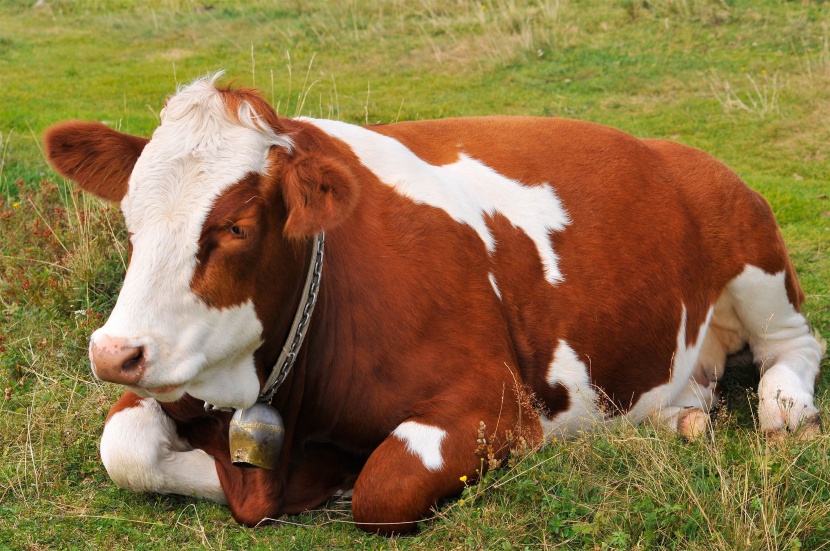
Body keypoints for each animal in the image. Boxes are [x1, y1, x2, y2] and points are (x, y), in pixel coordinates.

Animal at [45, 75, 824, 532]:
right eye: (130, 217)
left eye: (235, 226)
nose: (115, 353)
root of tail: (670, 148)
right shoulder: (179, 384)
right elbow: (125, 446)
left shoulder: (495, 406)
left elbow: (381, 486)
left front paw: (331, 483)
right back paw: (682, 416)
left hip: (750, 247)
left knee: (795, 344)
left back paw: (785, 408)